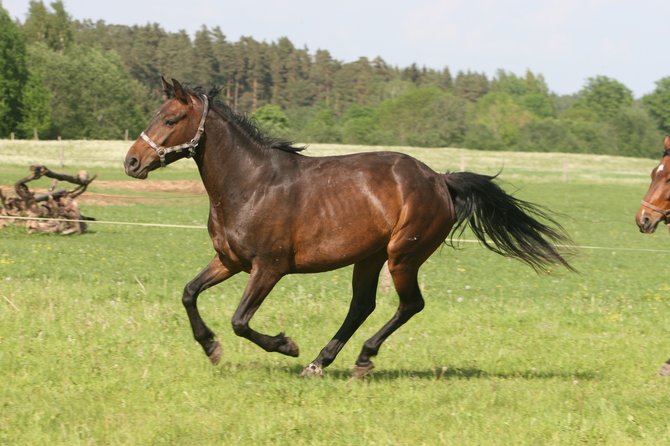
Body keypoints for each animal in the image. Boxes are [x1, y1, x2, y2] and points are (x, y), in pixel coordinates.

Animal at [124, 77, 572, 376]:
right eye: (157, 114)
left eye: (172, 118)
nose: (131, 162)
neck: (250, 184)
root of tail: (440, 180)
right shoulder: (230, 261)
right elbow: (189, 293)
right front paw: (211, 347)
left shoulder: (269, 267)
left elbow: (240, 321)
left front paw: (286, 345)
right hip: (369, 257)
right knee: (362, 306)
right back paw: (320, 363)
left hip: (402, 255)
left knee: (409, 305)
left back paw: (361, 358)